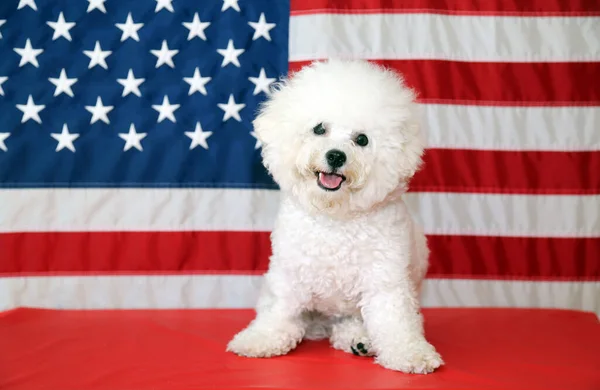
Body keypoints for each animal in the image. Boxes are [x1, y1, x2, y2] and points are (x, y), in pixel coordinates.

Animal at [227, 59, 442, 374]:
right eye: (319, 129)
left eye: (362, 139)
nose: (336, 156)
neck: (335, 219)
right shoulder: (289, 273)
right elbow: (279, 309)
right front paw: (261, 338)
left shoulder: (386, 279)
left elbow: (395, 320)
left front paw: (411, 352)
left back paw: (359, 338)